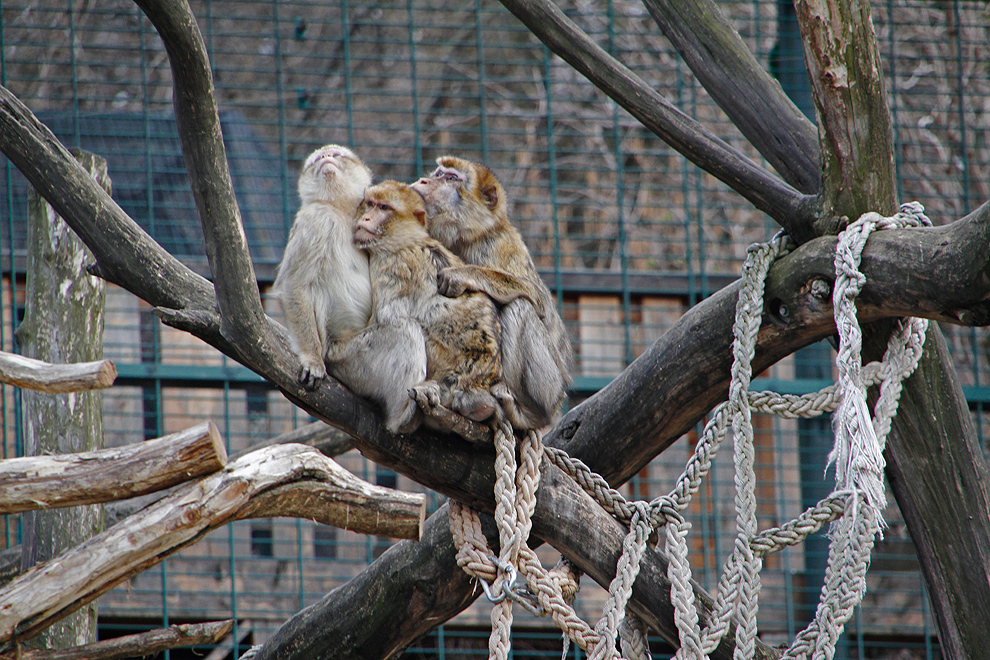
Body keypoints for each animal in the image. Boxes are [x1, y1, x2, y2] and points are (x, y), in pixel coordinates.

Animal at [272, 145, 376, 390]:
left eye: (336, 155)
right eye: (319, 159)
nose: (327, 158)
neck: (338, 211)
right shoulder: (316, 220)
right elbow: (294, 285)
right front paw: (312, 358)